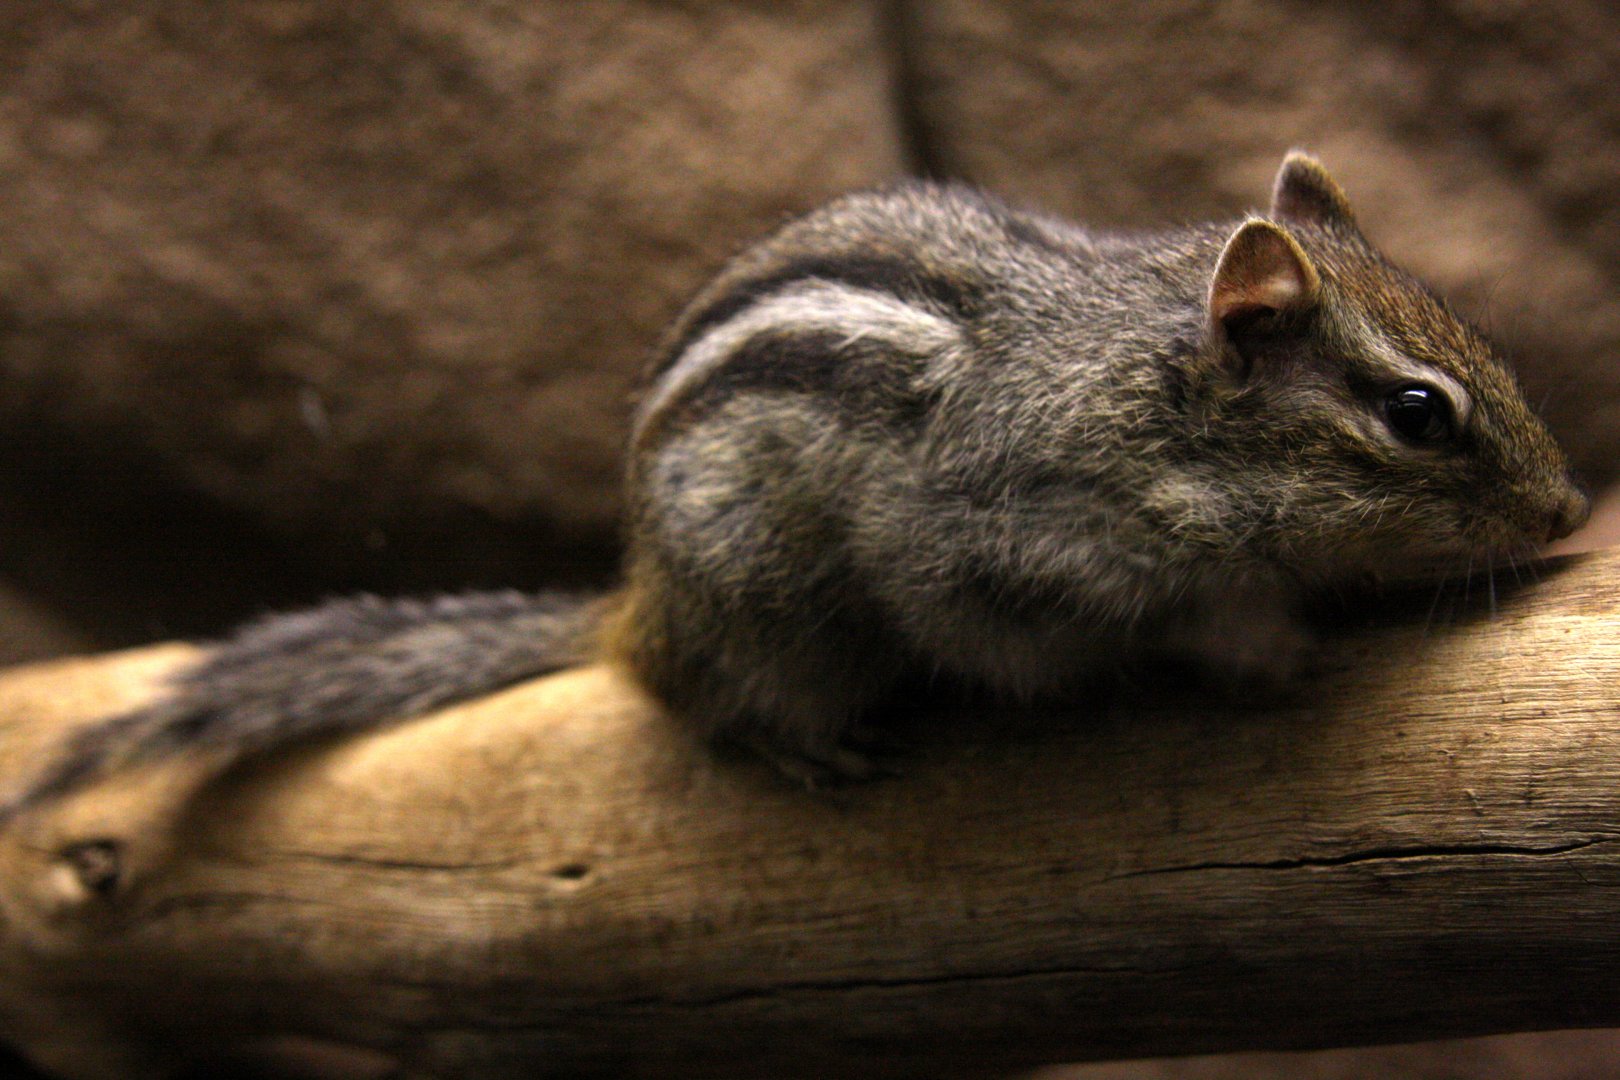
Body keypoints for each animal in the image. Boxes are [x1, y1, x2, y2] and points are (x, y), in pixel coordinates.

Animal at [0, 151, 1590, 816]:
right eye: (1417, 414)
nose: (1570, 514)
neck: (1147, 400)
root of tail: (635, 601)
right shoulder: (1005, 549)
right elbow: (1132, 623)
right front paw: (1262, 644)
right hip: (768, 606)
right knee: (692, 698)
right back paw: (791, 739)